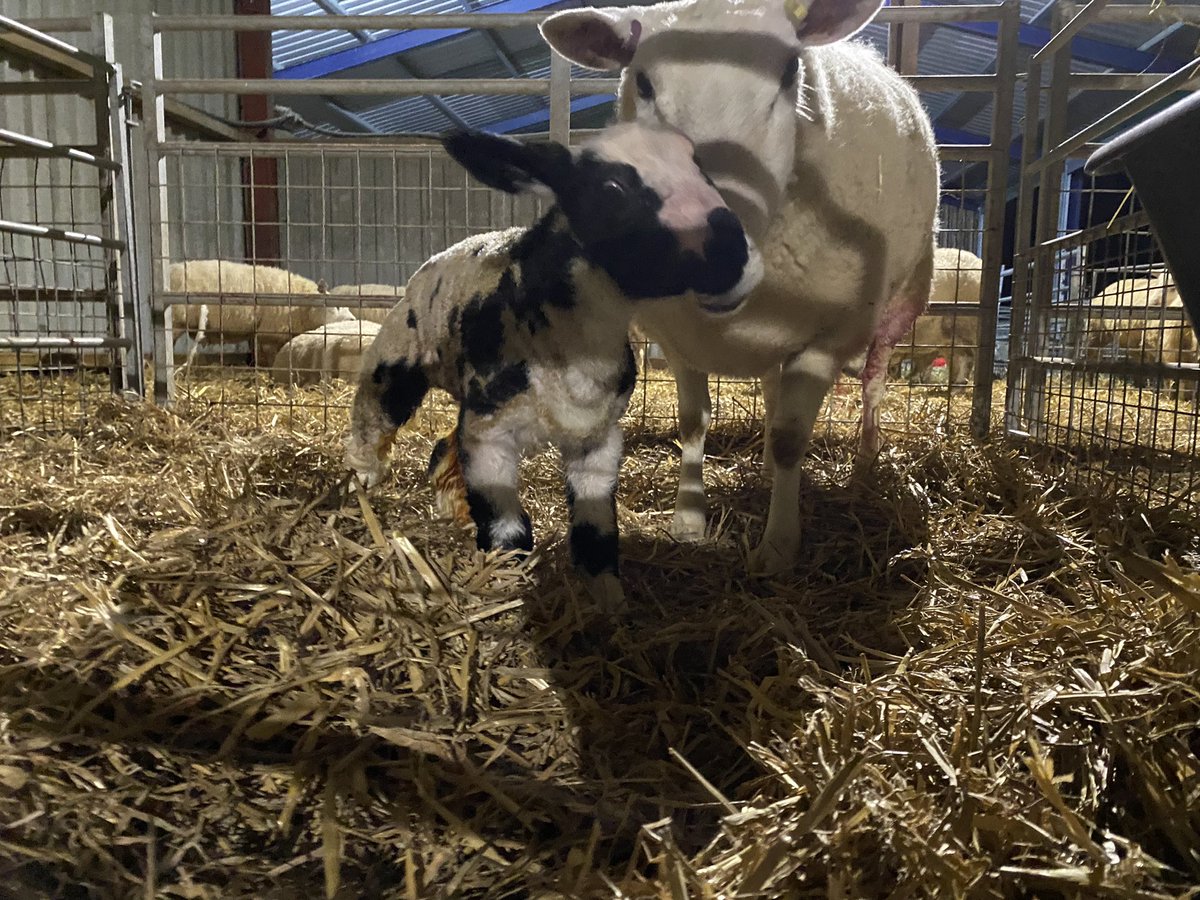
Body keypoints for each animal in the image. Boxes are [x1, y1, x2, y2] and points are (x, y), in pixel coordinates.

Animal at [344, 123, 760, 610]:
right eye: (612, 188)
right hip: (397, 356)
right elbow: (504, 522)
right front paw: (508, 577)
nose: (732, 253)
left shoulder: (599, 439)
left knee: (444, 445)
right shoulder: (490, 436)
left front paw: (607, 596)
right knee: (375, 418)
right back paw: (363, 482)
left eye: (699, 165)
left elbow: (596, 525)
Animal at [541, 0, 940, 575]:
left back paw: (864, 465)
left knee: (874, 380)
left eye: (792, 72)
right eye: (642, 82)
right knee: (775, 399)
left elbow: (793, 439)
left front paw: (778, 547)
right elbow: (692, 423)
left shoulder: (826, 337)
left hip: (902, 297)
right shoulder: (674, 333)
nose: (713, 249)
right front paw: (688, 521)